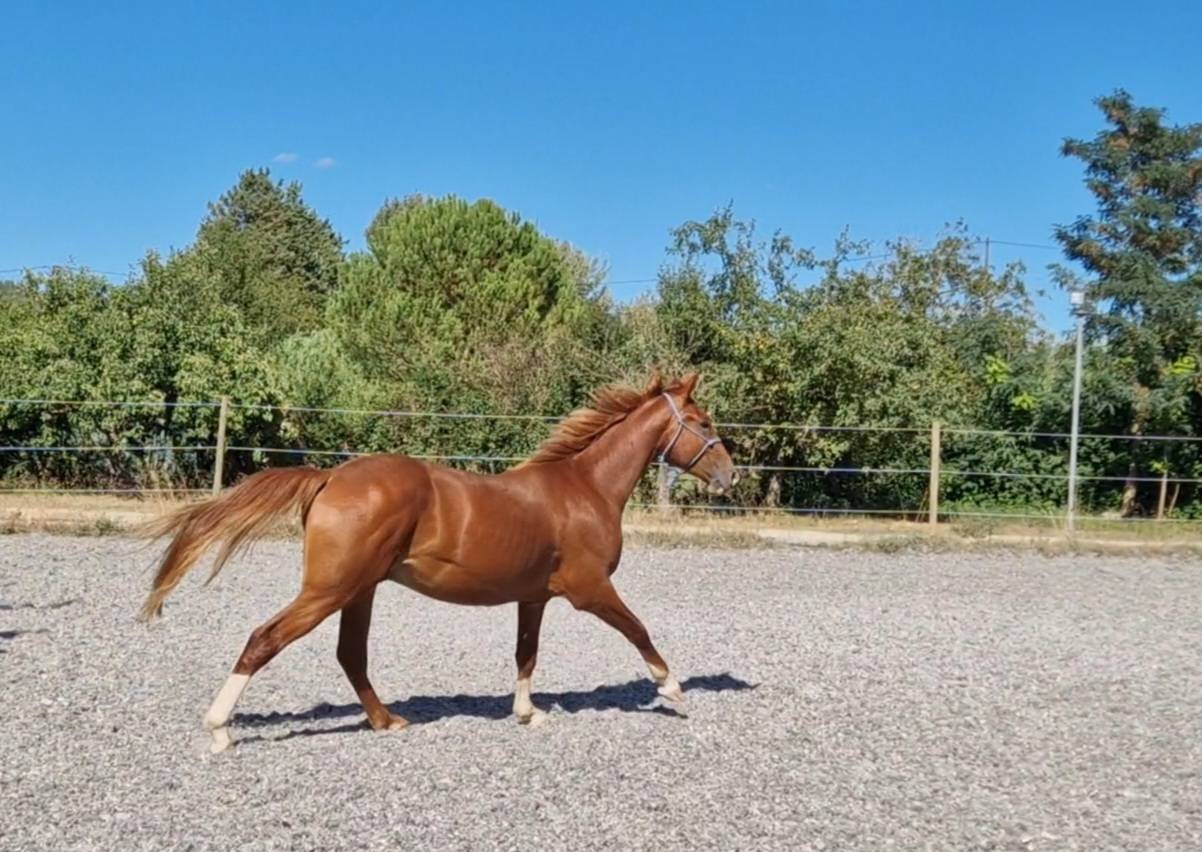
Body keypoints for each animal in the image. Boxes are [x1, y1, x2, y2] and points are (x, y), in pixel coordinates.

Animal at [140, 371, 737, 752]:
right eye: (703, 421)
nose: (731, 476)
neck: (585, 489)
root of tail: (330, 477)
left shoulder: (534, 597)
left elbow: (526, 654)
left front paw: (528, 713)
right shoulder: (589, 590)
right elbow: (638, 630)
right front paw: (672, 690)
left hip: (359, 590)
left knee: (350, 655)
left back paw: (387, 721)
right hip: (329, 590)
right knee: (264, 639)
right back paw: (220, 729)